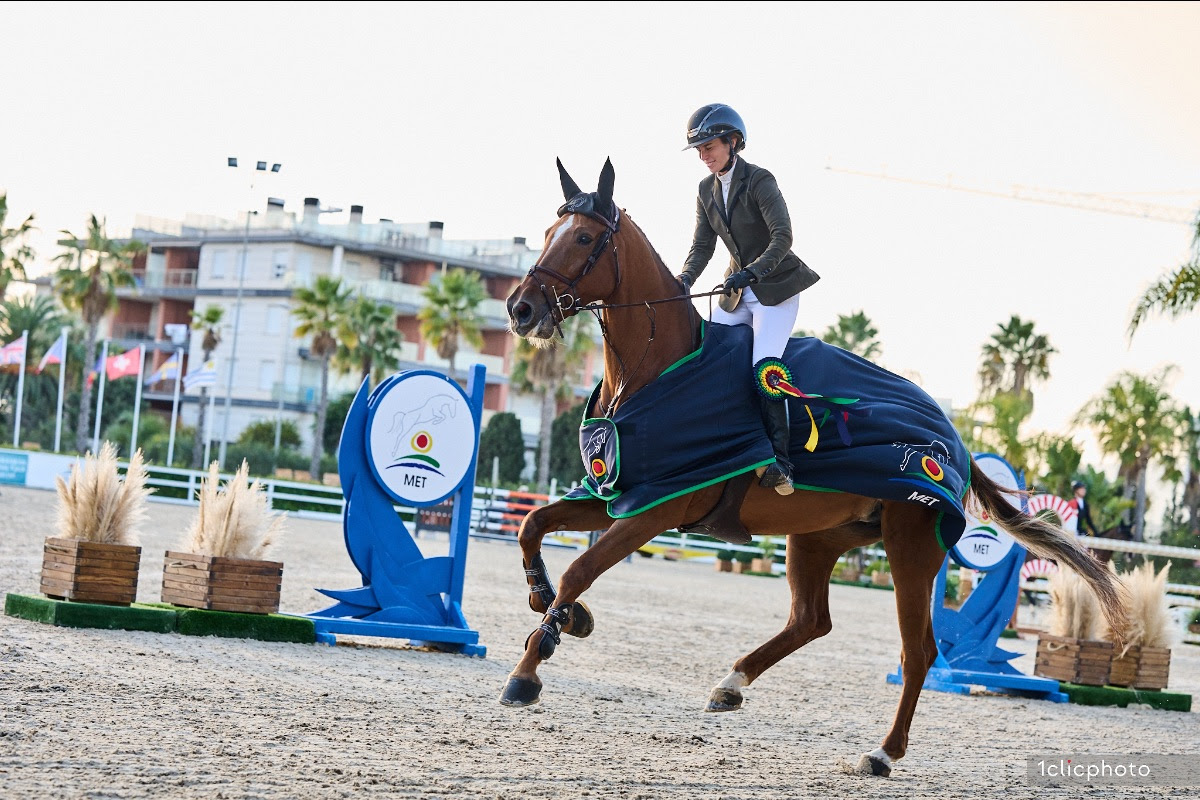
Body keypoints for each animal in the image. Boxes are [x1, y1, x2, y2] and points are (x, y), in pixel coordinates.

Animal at [499, 159, 1123, 777]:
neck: (656, 369)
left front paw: (532, 664)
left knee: (917, 650)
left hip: (911, 543)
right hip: (819, 536)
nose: (520, 309)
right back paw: (731, 684)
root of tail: (955, 440)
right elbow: (532, 527)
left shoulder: (656, 508)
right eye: (549, 232)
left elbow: (581, 569)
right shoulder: (613, 492)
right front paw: (555, 608)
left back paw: (881, 752)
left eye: (583, 238)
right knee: (811, 619)